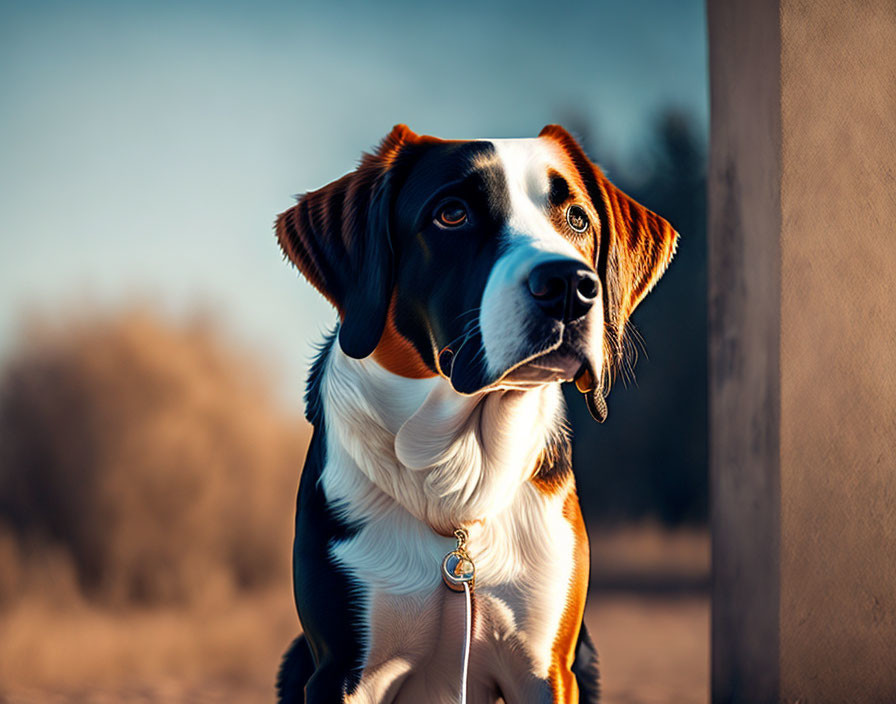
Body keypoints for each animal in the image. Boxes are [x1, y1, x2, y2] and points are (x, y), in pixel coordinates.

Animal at [276, 126, 676, 704]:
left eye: (578, 218)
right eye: (452, 214)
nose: (569, 286)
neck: (458, 473)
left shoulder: (547, 667)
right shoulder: (342, 670)